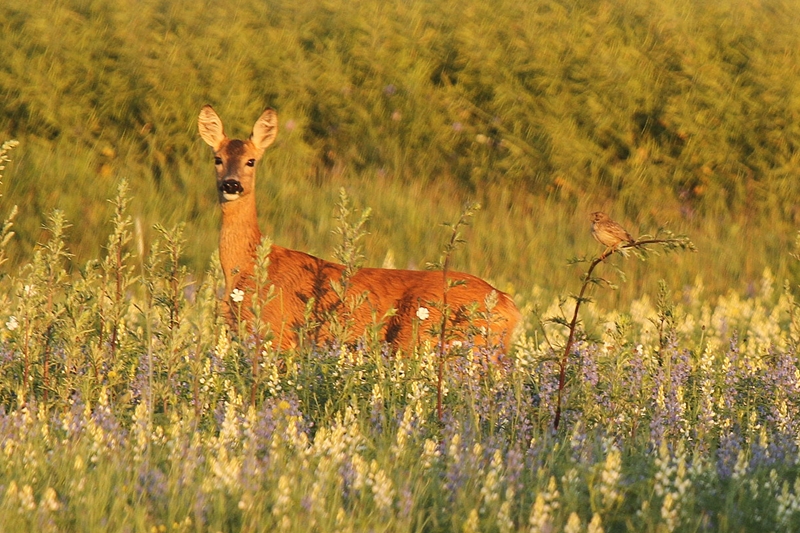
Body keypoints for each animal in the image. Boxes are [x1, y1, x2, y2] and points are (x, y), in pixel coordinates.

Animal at [198, 105, 520, 358]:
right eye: (217, 158)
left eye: (251, 160)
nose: (231, 184)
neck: (248, 265)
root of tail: (508, 304)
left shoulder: (277, 333)